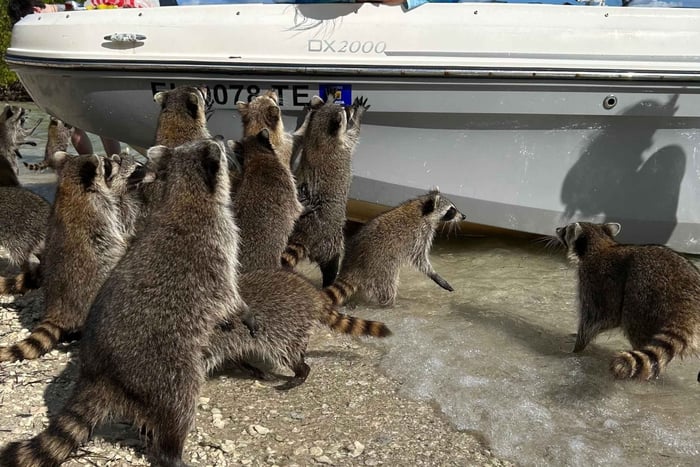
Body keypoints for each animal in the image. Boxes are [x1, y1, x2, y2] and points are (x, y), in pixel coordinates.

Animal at [0, 152, 127, 363]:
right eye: (108, 164)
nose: (118, 160)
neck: (71, 184)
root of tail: (58, 310)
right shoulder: (103, 210)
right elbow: (118, 235)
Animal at [281, 95, 370, 287]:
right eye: (346, 111)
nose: (350, 107)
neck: (318, 136)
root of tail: (305, 233)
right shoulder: (343, 144)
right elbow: (355, 133)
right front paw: (358, 115)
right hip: (331, 239)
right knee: (332, 260)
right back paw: (330, 278)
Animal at [324, 189, 466, 308]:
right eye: (451, 210)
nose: (464, 216)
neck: (422, 207)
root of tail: (353, 267)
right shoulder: (420, 235)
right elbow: (421, 260)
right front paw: (434, 274)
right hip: (382, 269)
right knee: (388, 287)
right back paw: (390, 304)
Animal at [556, 222, 700, 381]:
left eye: (565, 230)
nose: (557, 229)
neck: (600, 243)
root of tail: (687, 303)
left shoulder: (596, 282)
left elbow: (597, 318)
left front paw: (577, 347)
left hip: (644, 297)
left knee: (632, 321)